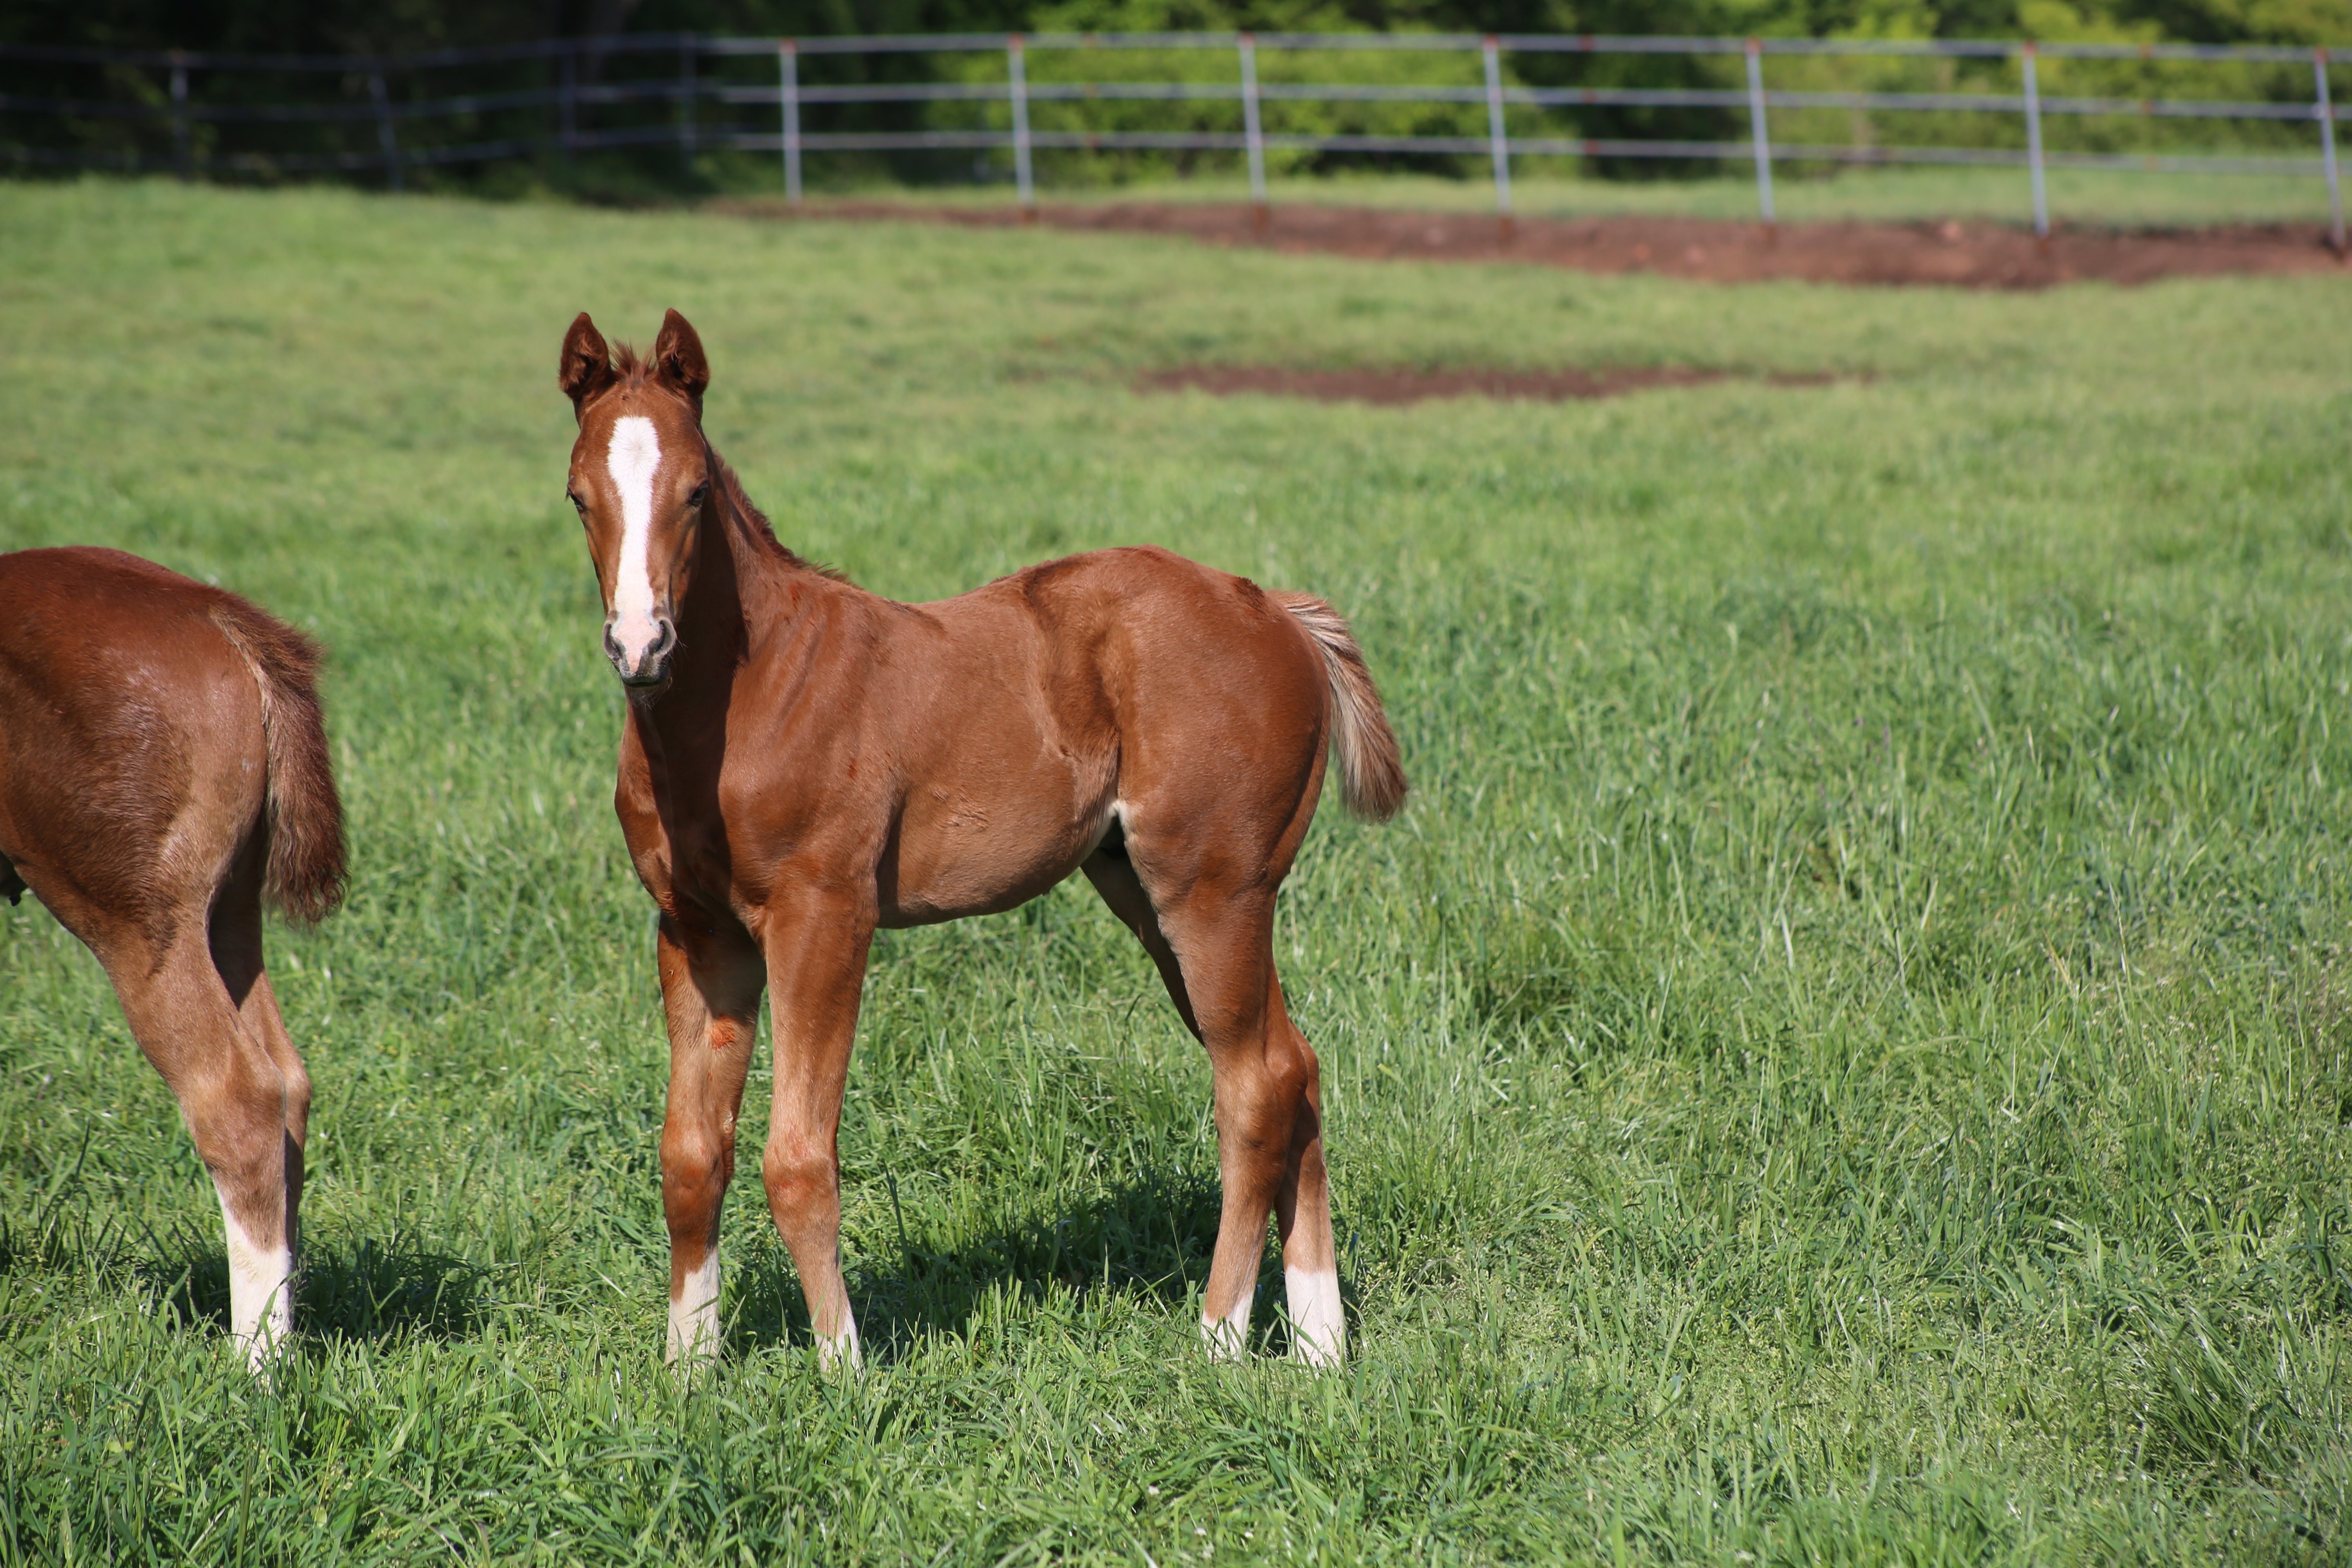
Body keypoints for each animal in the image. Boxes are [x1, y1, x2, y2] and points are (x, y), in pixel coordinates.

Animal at [0, 550, 343, 1363]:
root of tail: (217, 614)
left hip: (135, 921)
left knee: (236, 1100)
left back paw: (254, 1371)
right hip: (228, 912)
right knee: (288, 1084)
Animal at [555, 312, 1392, 1363]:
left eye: (696, 490)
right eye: (579, 496)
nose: (641, 645)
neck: (750, 694)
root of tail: (1273, 607)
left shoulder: (824, 919)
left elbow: (798, 1158)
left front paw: (846, 1371)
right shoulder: (697, 935)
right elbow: (689, 1154)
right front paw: (687, 1370)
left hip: (1212, 890)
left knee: (1255, 1087)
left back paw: (1219, 1339)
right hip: (1156, 893)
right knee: (1296, 1067)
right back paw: (1320, 1346)